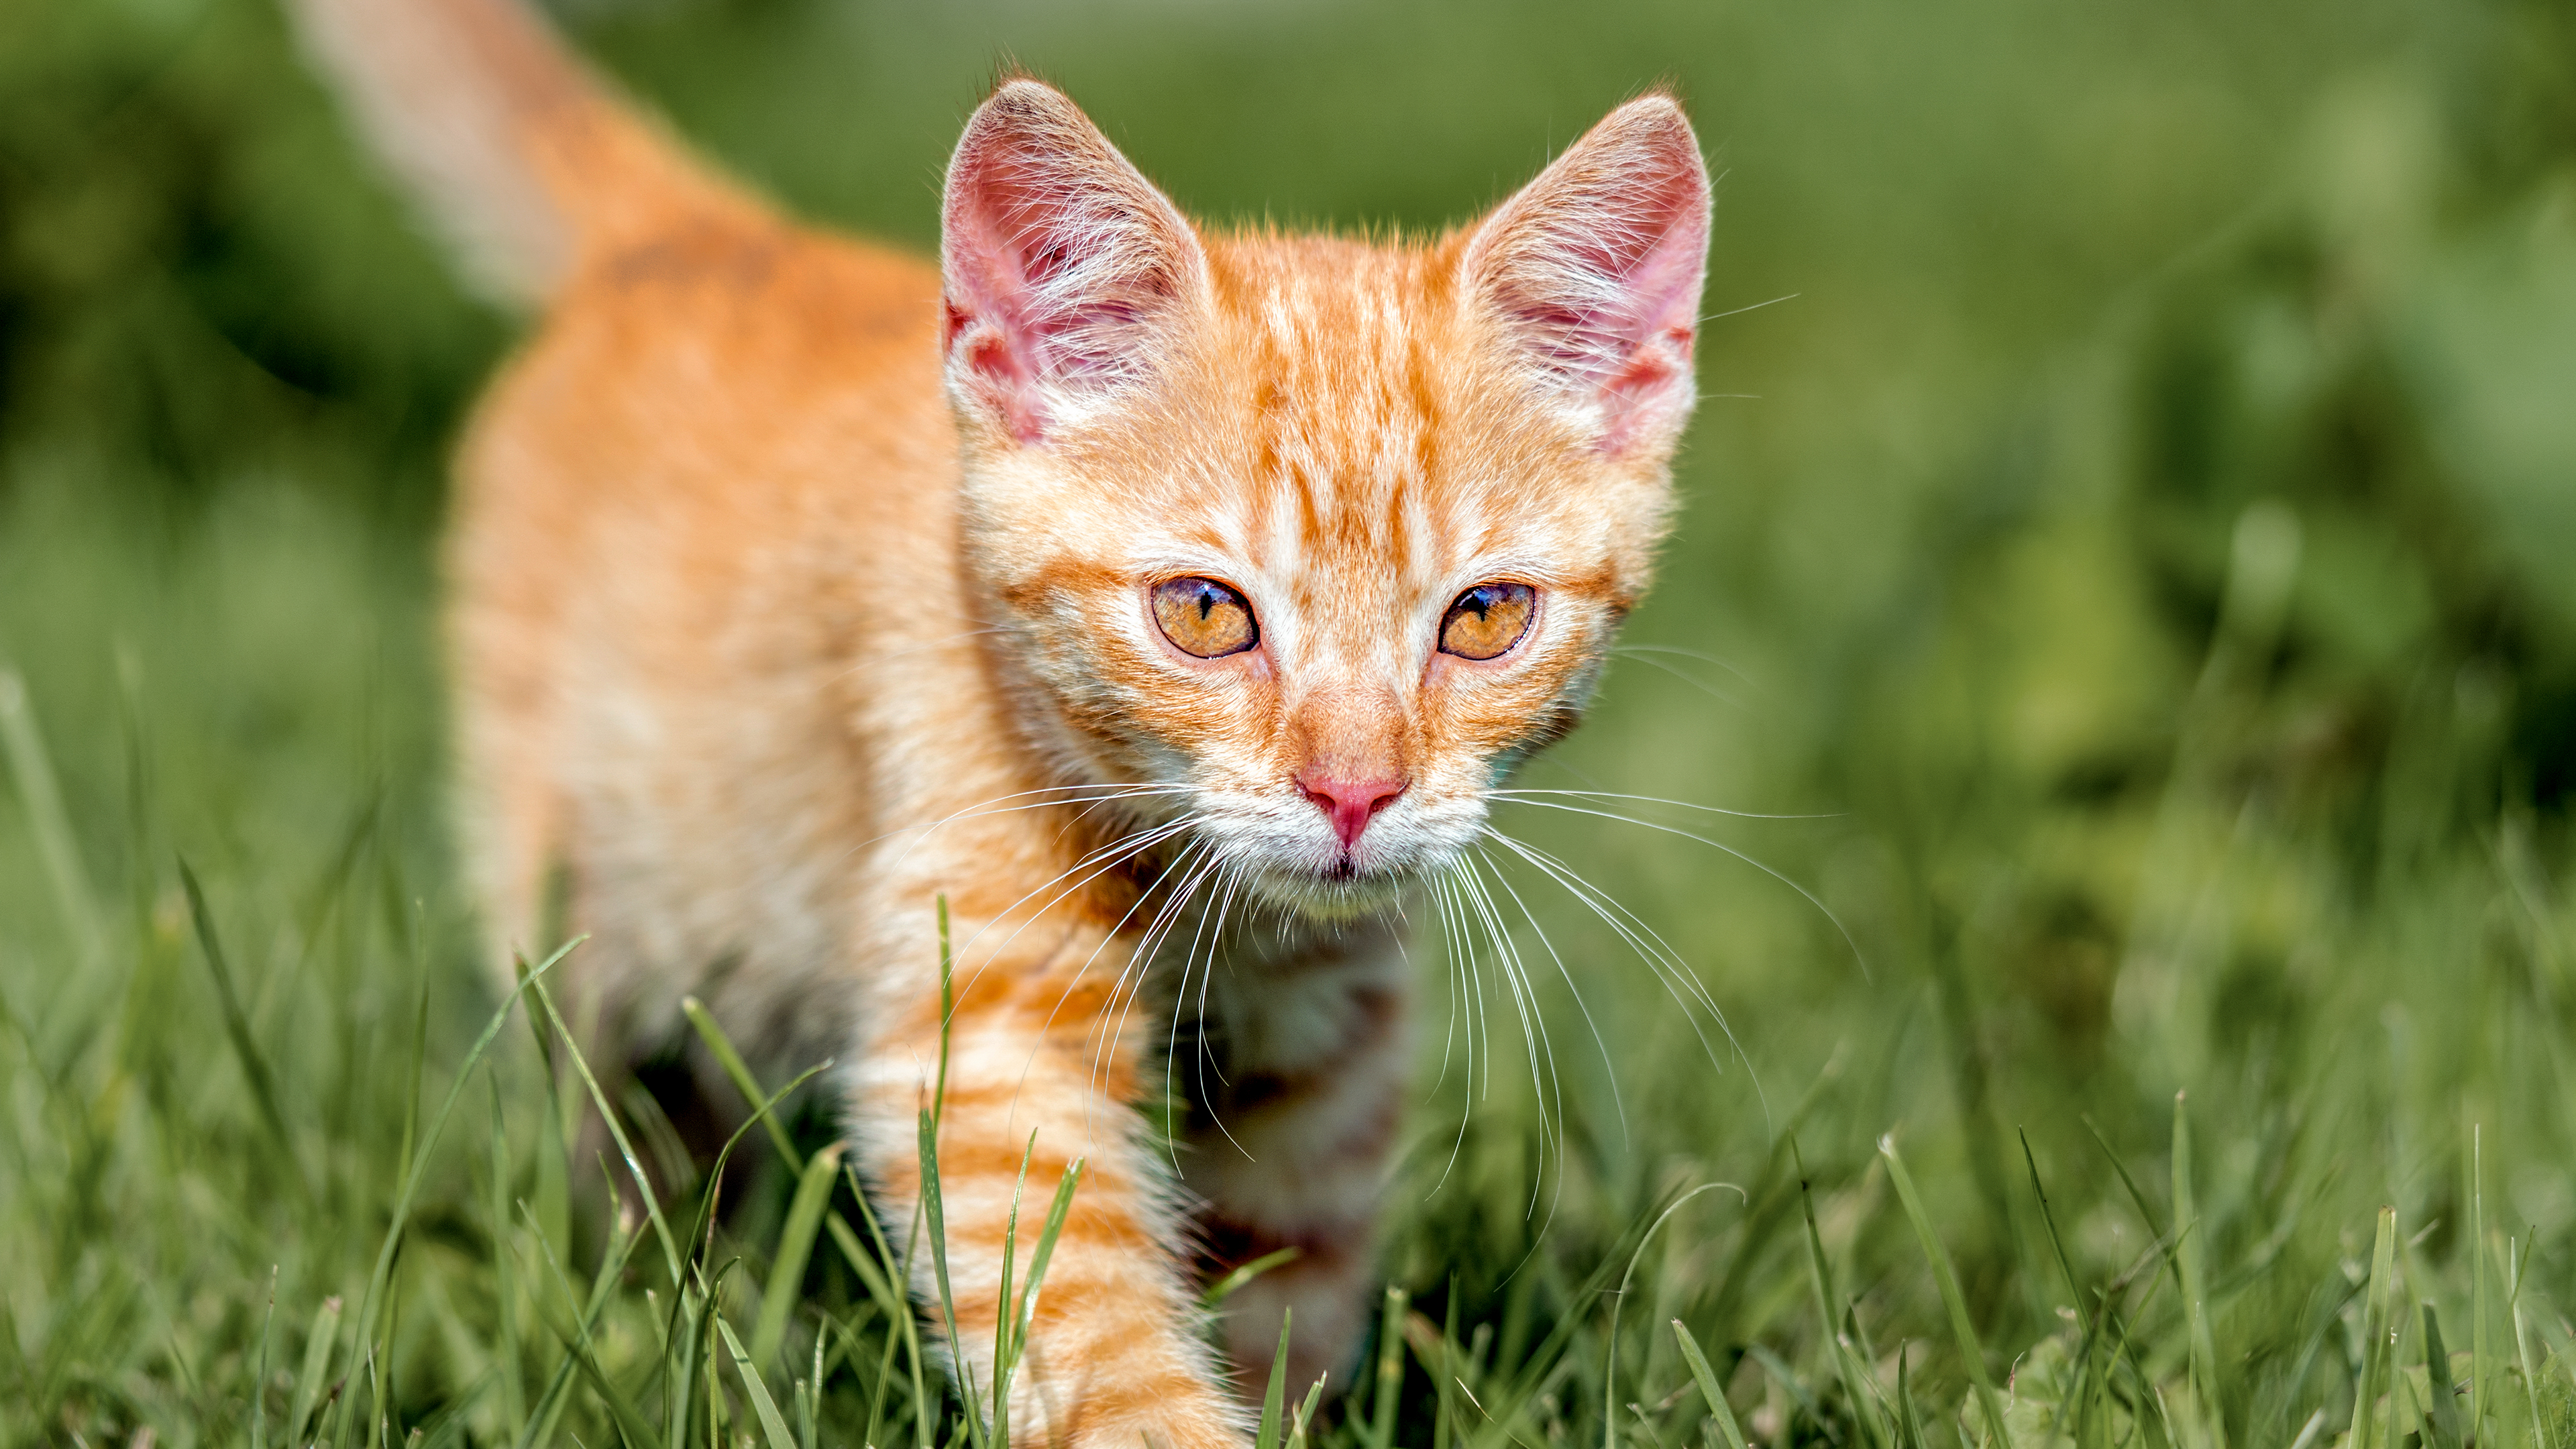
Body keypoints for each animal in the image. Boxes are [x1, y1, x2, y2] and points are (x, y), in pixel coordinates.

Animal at [292, 0, 1710, 1433]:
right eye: (1206, 613)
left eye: (1484, 619)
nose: (1354, 794)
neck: (1217, 911)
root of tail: (710, 239)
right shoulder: (986, 1034)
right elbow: (1094, 1331)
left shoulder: (1323, 1050)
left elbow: (1289, 1291)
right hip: (590, 898)